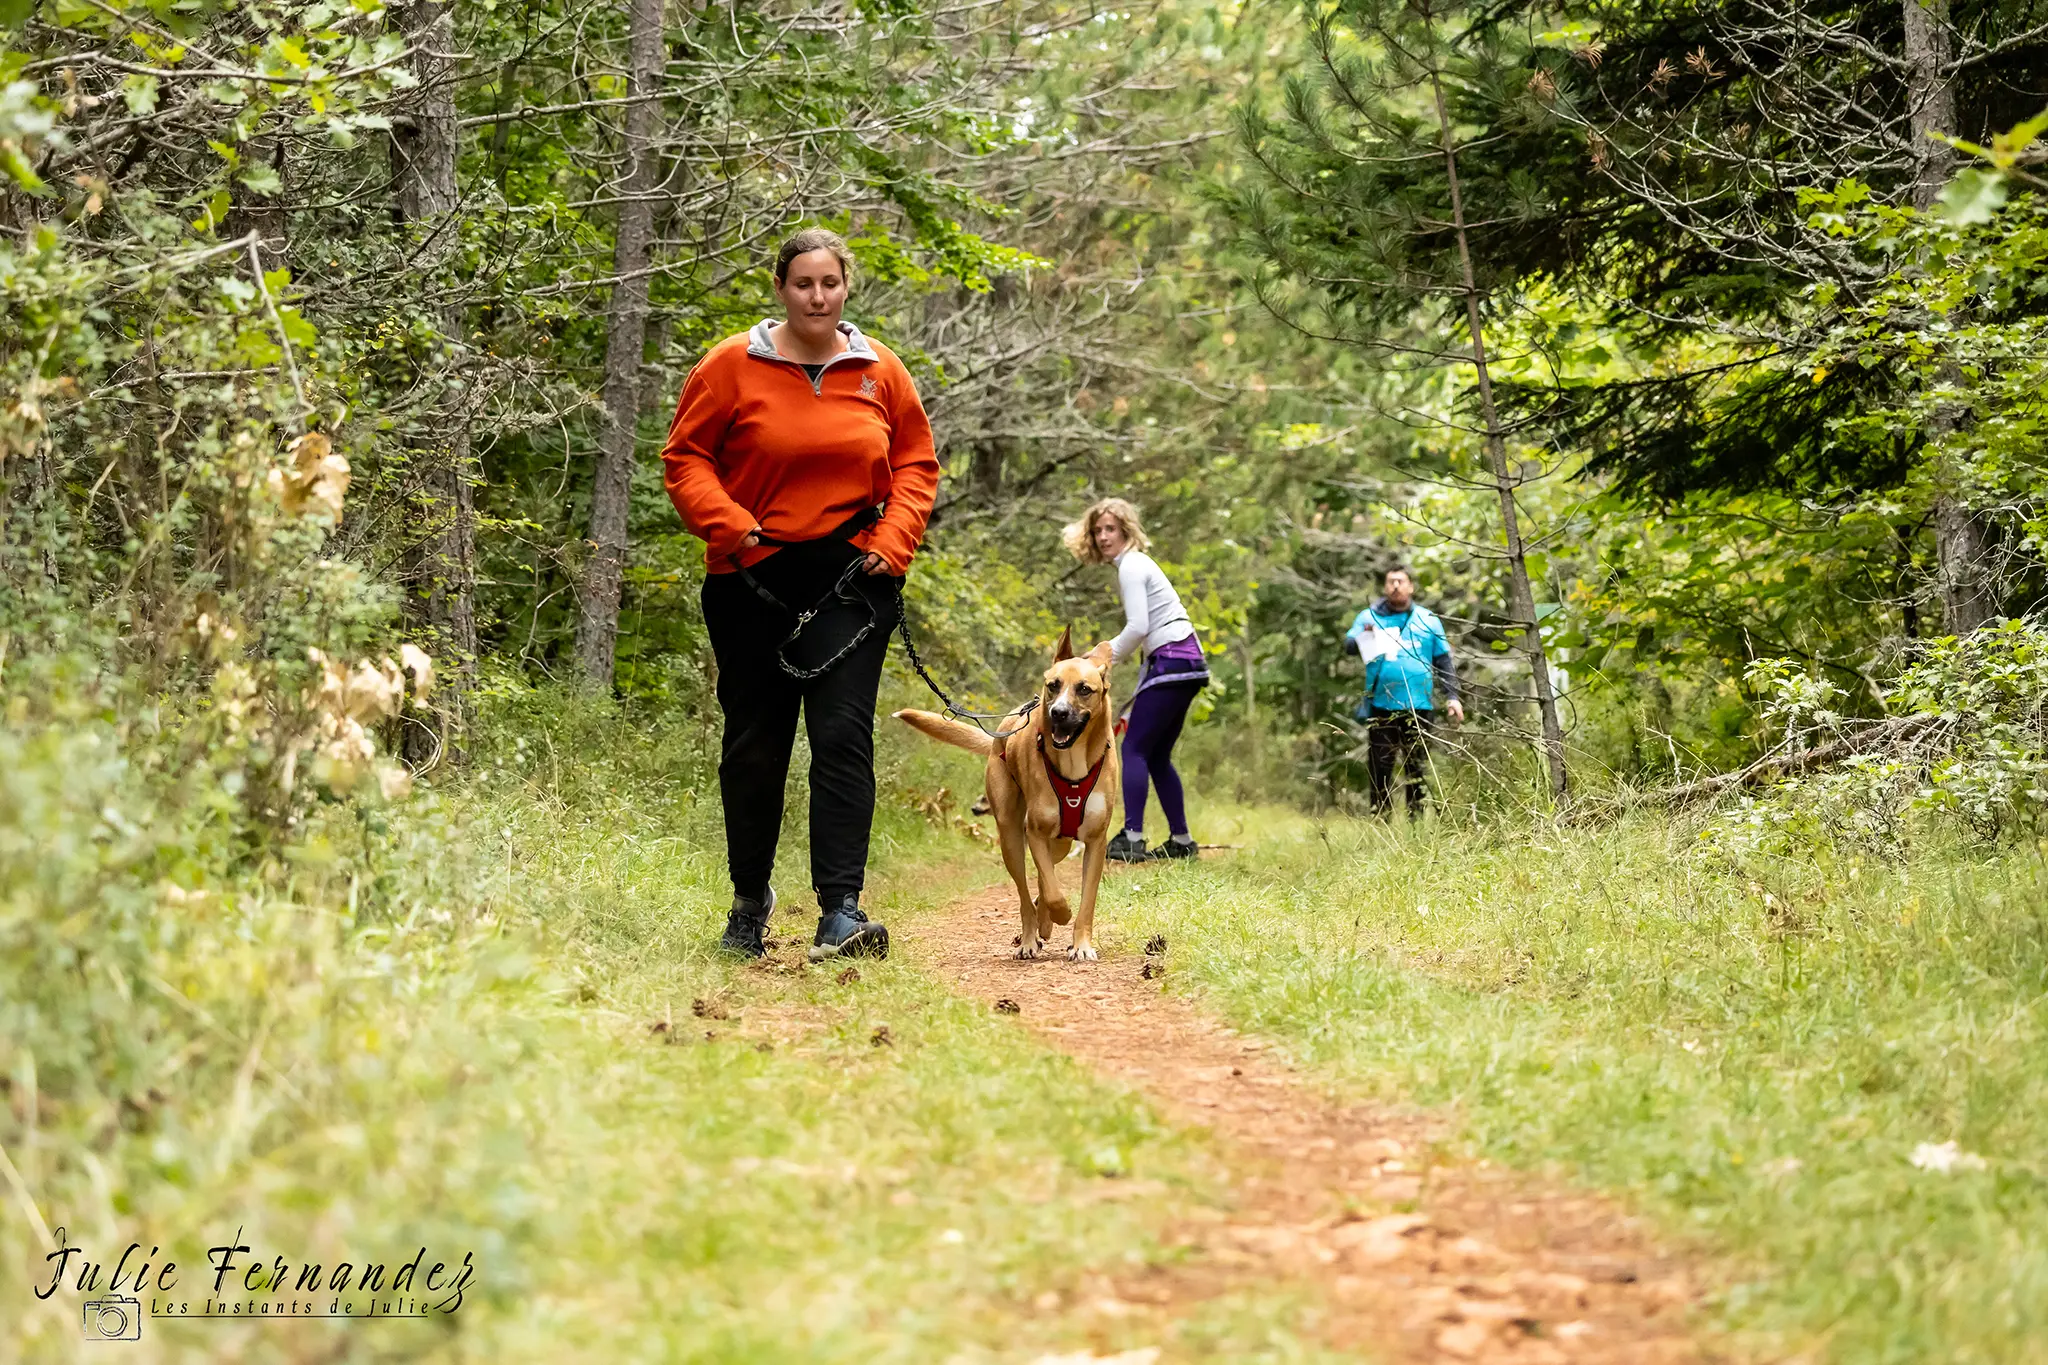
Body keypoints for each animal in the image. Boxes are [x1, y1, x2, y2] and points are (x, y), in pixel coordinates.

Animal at [897, 626, 1122, 961]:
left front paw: (1081, 945)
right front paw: (1059, 915)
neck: (1072, 768)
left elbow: (1085, 902)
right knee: (1027, 893)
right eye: (1053, 685)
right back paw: (1031, 937)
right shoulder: (1036, 833)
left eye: (1084, 689)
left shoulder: (1095, 841)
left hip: (1061, 843)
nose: (1058, 713)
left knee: (1043, 879)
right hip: (1011, 837)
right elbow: (1053, 893)